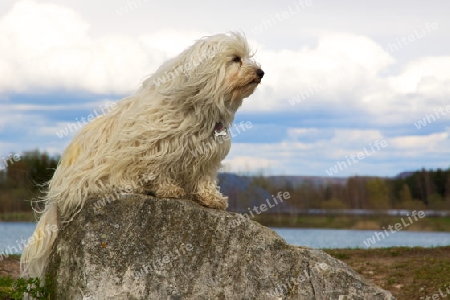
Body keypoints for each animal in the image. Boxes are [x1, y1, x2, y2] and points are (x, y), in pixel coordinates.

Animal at [21, 32, 264, 278]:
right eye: (235, 59)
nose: (260, 72)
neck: (200, 109)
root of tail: (56, 197)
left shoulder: (208, 156)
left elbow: (204, 179)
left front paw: (211, 197)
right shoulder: (156, 147)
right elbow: (158, 169)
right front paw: (168, 189)